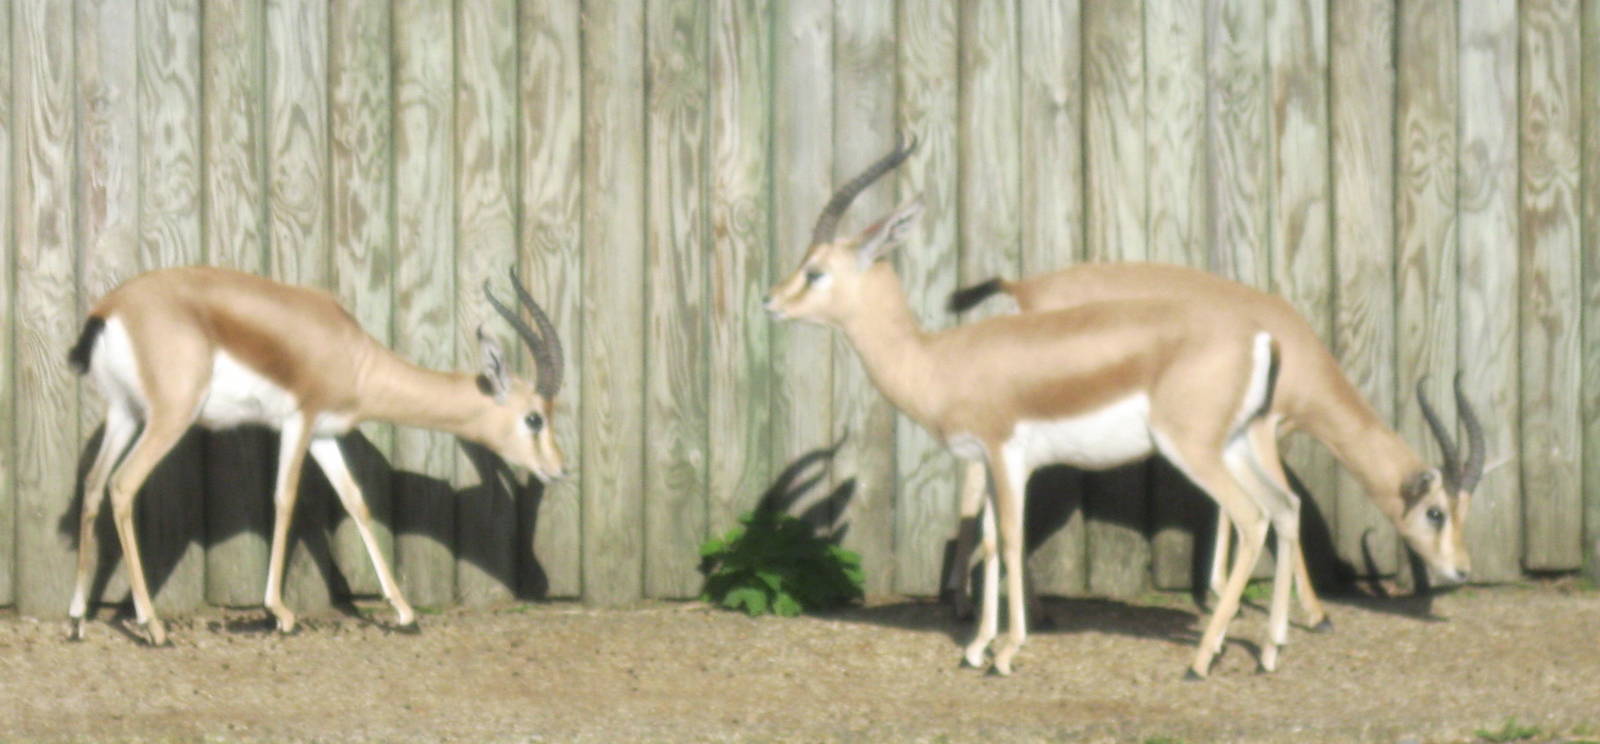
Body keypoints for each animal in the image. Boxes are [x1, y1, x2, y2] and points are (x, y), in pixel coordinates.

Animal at [65, 266, 566, 645]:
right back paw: (153, 626)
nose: (559, 470)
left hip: (125, 414)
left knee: (93, 484)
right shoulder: (299, 421)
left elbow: (356, 503)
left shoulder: (325, 435)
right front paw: (279, 613)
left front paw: (404, 613)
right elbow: (284, 500)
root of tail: (109, 311)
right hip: (170, 417)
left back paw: (75, 620)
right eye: (534, 418)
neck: (355, 356)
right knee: (122, 485)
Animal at [765, 137, 1321, 678]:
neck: (937, 359)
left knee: (1252, 517)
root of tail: (1259, 337)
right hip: (1237, 444)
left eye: (815, 272)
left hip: (1193, 450)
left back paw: (1203, 659)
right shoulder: (988, 463)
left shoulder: (1004, 454)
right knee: (1284, 507)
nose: (770, 301)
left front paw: (1006, 653)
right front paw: (977, 648)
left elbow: (1011, 540)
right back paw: (1269, 651)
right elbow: (992, 541)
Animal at [943, 265, 1485, 633]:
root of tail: (1023, 288)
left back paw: (988, 605)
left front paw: (1224, 591)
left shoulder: (1228, 436)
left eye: (1466, 513)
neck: (1290, 345)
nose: (1461, 569)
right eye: (1436, 512)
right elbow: (1285, 507)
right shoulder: (1262, 430)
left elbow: (1228, 509)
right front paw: (1316, 614)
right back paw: (982, 607)